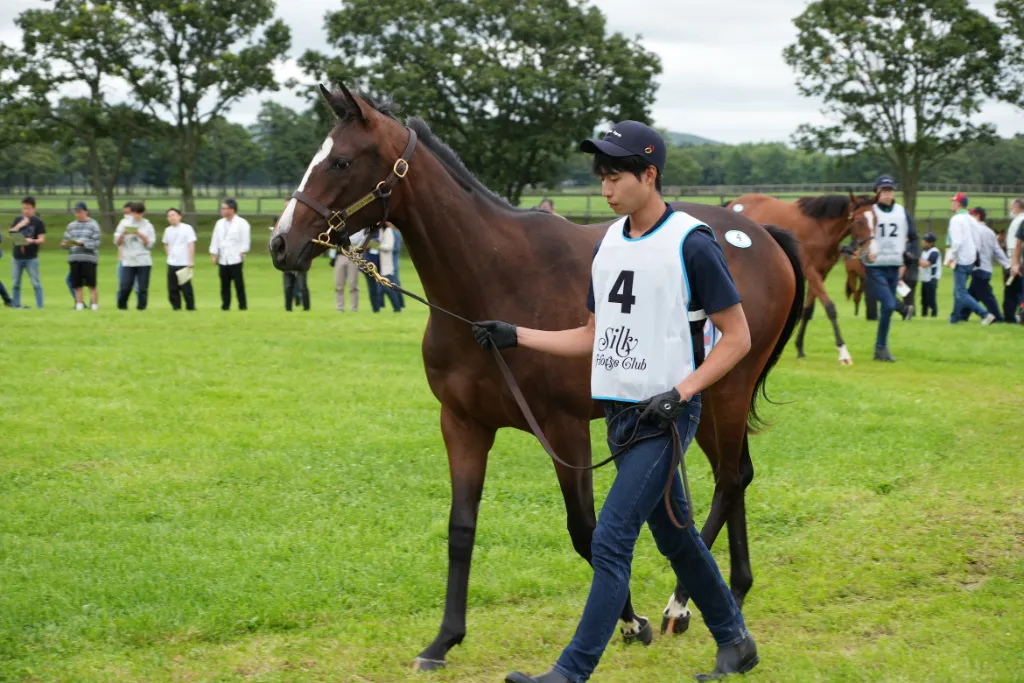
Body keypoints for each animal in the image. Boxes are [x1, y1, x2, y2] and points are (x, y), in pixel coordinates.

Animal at [270, 83, 805, 672]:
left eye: (341, 161)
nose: (280, 243)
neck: (493, 279)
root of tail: (760, 233)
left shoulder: (564, 429)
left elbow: (585, 530)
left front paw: (631, 622)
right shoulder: (463, 425)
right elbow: (461, 528)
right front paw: (443, 641)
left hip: (721, 395)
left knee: (729, 482)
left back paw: (685, 604)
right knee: (734, 479)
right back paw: (727, 594)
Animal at [726, 193, 878, 365]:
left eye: (875, 219)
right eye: (859, 221)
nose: (872, 255)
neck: (820, 228)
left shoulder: (821, 274)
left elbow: (807, 310)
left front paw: (799, 347)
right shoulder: (811, 272)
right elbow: (830, 308)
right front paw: (843, 352)